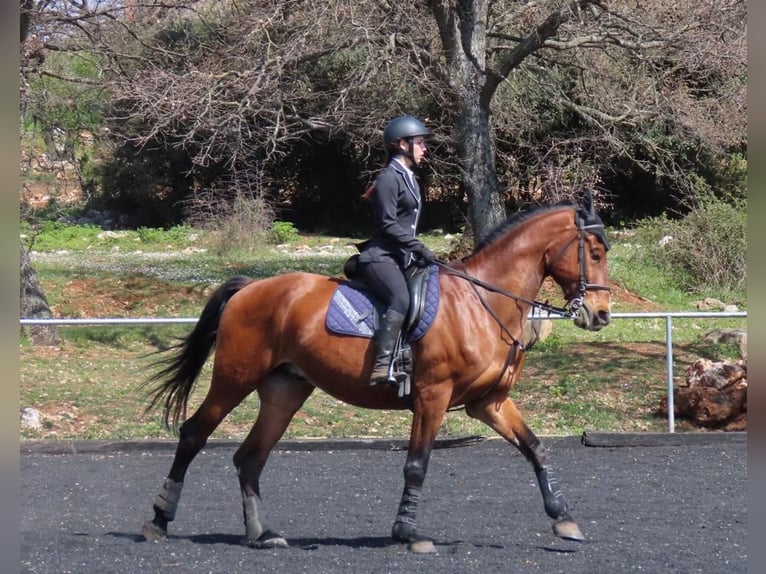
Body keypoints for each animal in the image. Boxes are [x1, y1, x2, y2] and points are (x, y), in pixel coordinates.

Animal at [141, 192, 616, 552]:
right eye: (593, 253)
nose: (601, 315)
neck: (483, 303)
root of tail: (250, 287)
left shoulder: (489, 403)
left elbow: (535, 448)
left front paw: (564, 520)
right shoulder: (432, 395)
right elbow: (417, 465)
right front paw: (408, 533)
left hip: (284, 390)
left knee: (250, 458)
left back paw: (261, 534)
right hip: (234, 377)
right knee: (194, 434)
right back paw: (158, 521)